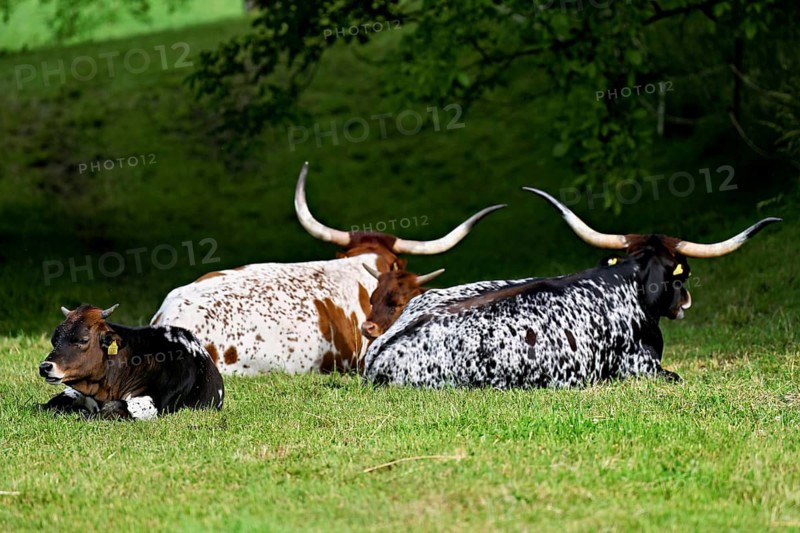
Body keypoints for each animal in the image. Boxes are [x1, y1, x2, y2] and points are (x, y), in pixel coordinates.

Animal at [39, 304, 224, 420]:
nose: (45, 367)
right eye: (54, 340)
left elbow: (112, 407)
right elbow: (49, 404)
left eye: (83, 340)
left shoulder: (153, 403)